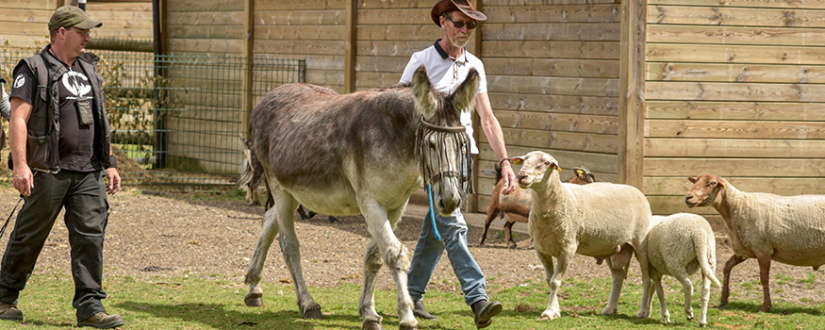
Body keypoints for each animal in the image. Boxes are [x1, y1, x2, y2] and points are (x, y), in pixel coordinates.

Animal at [516, 151, 652, 320]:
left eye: (546, 163)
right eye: (523, 160)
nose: (521, 176)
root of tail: (636, 190)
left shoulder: (568, 248)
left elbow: (555, 282)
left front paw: (550, 312)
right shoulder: (541, 251)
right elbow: (549, 280)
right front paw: (555, 309)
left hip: (641, 243)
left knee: (647, 279)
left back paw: (643, 311)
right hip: (610, 246)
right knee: (618, 276)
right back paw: (610, 308)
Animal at [684, 175, 825, 312]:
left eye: (712, 183)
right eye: (695, 181)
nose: (688, 197)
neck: (738, 207)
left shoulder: (762, 249)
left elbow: (764, 278)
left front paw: (765, 307)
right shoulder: (744, 250)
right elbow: (727, 267)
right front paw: (723, 299)